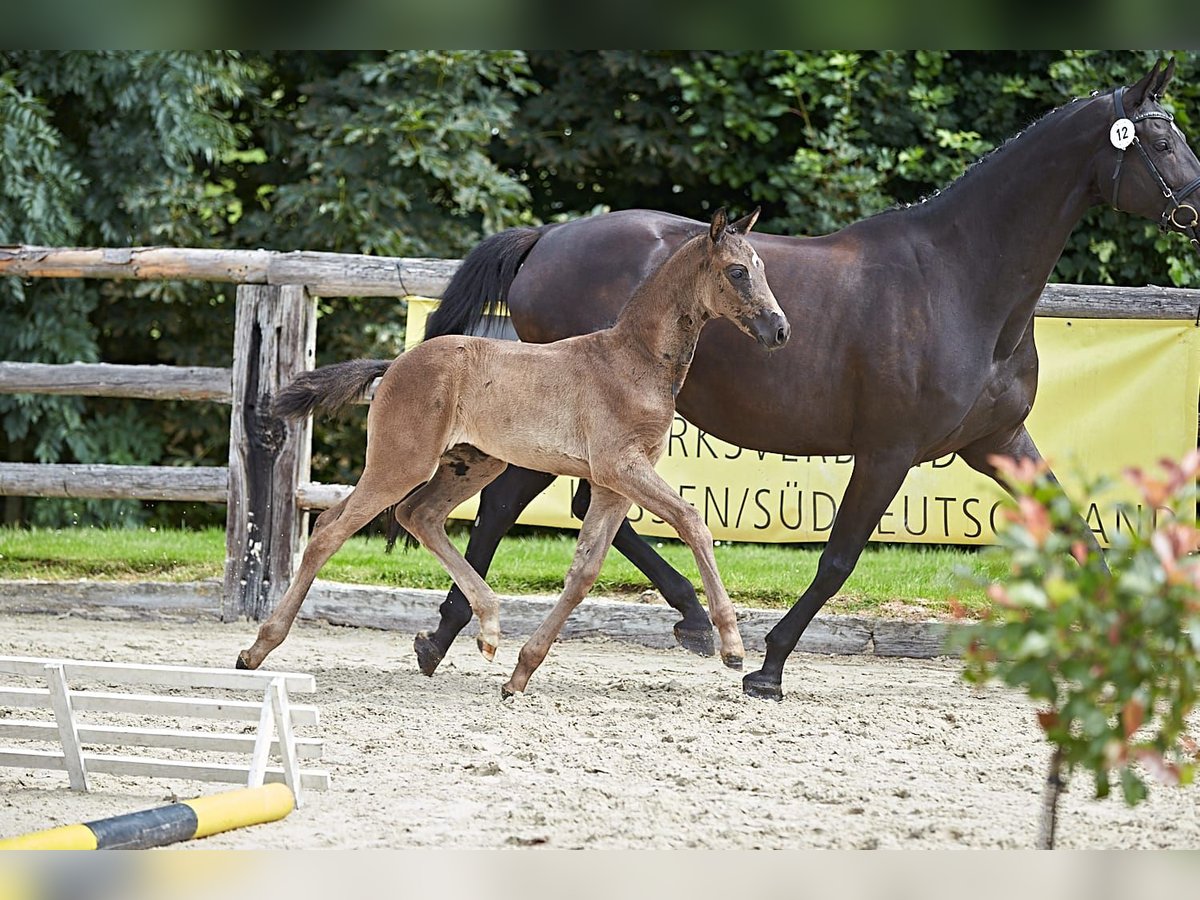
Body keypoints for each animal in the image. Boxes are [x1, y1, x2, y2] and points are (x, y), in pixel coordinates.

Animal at [238, 210, 792, 696]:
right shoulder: (621, 466)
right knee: (331, 529)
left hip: (473, 463)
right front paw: (731, 646)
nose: (779, 329)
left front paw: (520, 674)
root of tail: (394, 364)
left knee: (420, 515)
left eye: (763, 268)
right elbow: (692, 519)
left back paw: (489, 629)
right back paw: (255, 650)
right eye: (737, 271)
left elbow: (585, 571)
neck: (634, 360)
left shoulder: (613, 483)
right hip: (402, 461)